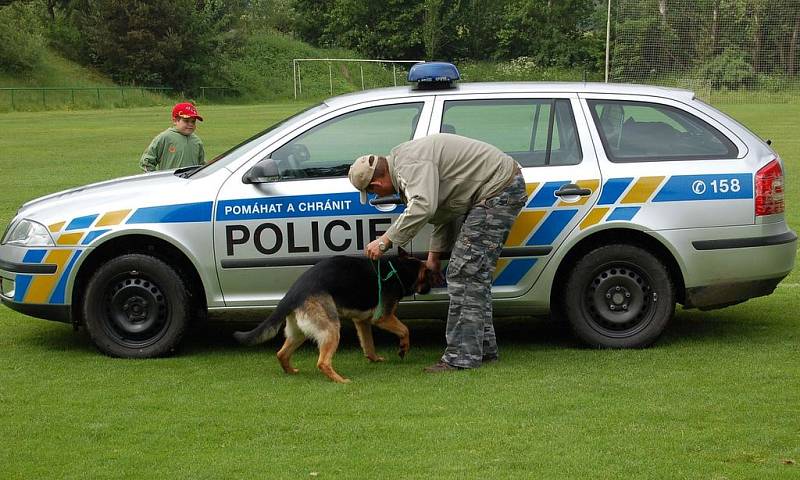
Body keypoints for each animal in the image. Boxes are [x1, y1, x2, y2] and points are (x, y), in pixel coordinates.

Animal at [233, 249, 432, 384]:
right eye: (429, 274)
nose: (434, 285)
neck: (398, 269)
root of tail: (292, 294)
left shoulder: (361, 321)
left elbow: (368, 344)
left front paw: (374, 359)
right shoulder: (383, 317)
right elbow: (405, 330)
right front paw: (403, 348)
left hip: (300, 333)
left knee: (281, 353)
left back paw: (291, 371)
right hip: (331, 329)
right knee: (322, 362)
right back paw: (340, 380)